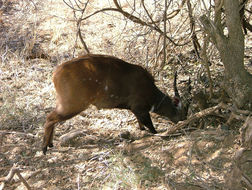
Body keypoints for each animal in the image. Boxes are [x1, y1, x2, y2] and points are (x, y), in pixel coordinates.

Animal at [41, 53, 187, 154]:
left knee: (51, 118)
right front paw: (156, 133)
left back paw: (50, 144)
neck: (151, 93)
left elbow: (141, 123)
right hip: (73, 104)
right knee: (49, 118)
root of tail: (55, 74)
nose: (184, 120)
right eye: (182, 110)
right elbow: (150, 125)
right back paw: (44, 148)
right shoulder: (139, 107)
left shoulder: (135, 109)